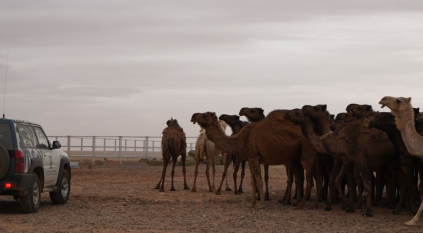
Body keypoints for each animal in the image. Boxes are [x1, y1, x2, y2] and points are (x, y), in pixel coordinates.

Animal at [190, 111, 322, 209]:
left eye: (205, 115)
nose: (193, 116)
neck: (238, 139)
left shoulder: (254, 158)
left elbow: (259, 180)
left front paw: (261, 204)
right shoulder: (250, 159)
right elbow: (253, 182)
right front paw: (252, 203)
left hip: (306, 155)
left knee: (309, 181)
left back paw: (301, 204)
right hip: (303, 159)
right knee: (310, 179)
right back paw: (309, 204)